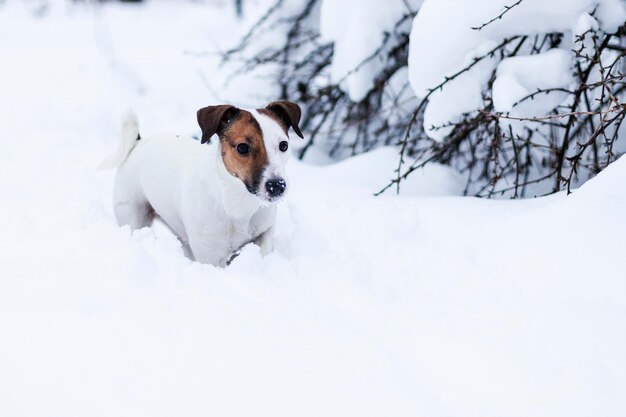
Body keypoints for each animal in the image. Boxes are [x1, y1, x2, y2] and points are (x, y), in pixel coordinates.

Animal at [101, 101, 304, 264]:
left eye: (283, 145)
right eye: (243, 147)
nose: (277, 186)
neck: (236, 201)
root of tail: (137, 142)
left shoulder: (264, 232)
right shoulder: (211, 255)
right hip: (133, 215)